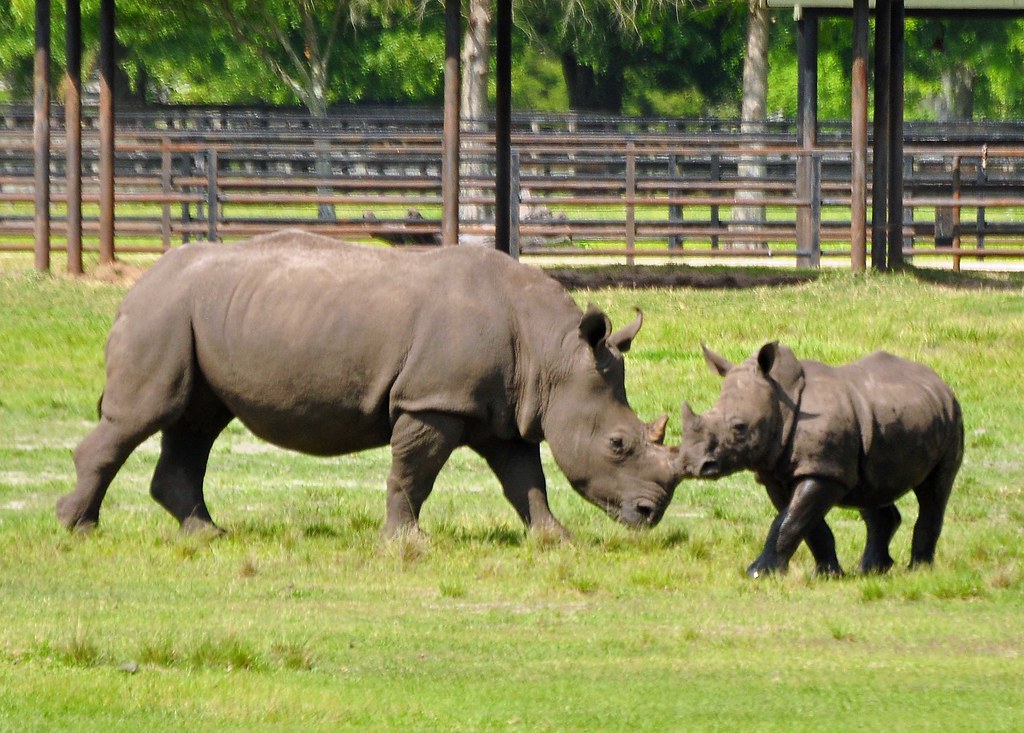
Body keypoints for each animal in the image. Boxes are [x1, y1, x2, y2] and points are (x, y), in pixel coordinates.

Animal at [57, 229, 681, 537]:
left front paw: (554, 540)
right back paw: (78, 529)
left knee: (196, 422)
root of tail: (135, 285)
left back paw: (208, 536)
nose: (650, 516)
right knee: (146, 415)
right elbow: (414, 474)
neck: (550, 353)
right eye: (618, 444)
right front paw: (406, 543)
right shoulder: (433, 402)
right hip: (163, 314)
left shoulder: (502, 411)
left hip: (196, 314)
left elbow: (526, 480)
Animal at [676, 342, 963, 577]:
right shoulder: (776, 473)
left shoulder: (822, 471)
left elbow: (791, 520)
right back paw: (871, 570)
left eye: (739, 427)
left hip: (952, 416)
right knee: (870, 488)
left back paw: (918, 571)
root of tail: (941, 382)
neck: (781, 403)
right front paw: (828, 574)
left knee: (934, 490)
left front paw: (757, 573)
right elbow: (804, 523)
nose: (695, 464)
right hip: (880, 420)